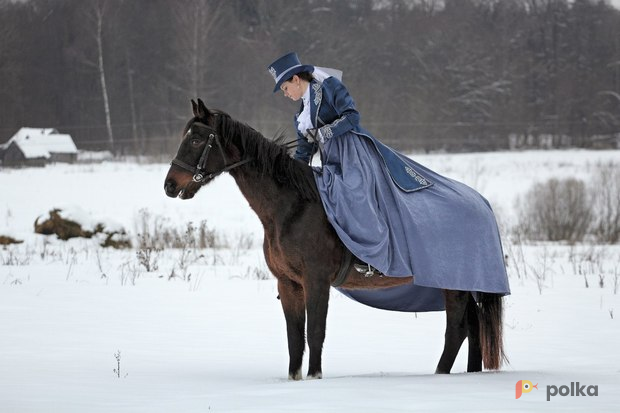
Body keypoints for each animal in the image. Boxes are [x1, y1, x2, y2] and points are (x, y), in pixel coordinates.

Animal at [165, 98, 504, 378]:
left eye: (196, 139)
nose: (170, 185)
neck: (290, 209)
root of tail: (482, 203)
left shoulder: (317, 281)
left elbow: (315, 331)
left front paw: (315, 377)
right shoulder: (288, 283)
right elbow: (294, 337)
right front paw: (295, 378)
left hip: (454, 286)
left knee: (457, 330)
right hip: (462, 285)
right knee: (474, 328)